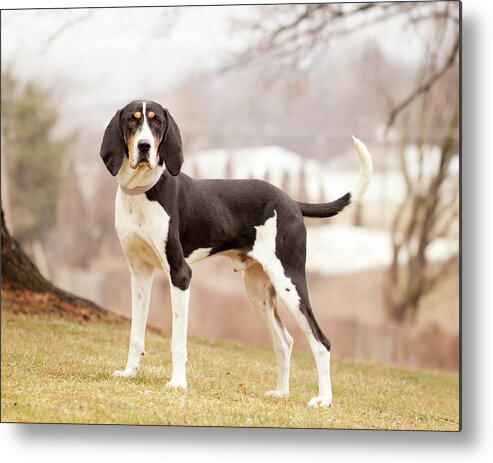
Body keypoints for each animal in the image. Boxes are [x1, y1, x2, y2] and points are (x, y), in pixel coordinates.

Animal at [99, 99, 368, 408]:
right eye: (132, 120)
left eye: (156, 122)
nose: (144, 146)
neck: (144, 192)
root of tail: (291, 202)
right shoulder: (139, 273)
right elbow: (136, 333)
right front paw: (129, 373)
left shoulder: (180, 275)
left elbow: (178, 339)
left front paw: (177, 383)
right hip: (258, 291)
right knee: (284, 341)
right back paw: (281, 392)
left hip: (289, 283)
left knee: (321, 341)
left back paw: (323, 399)